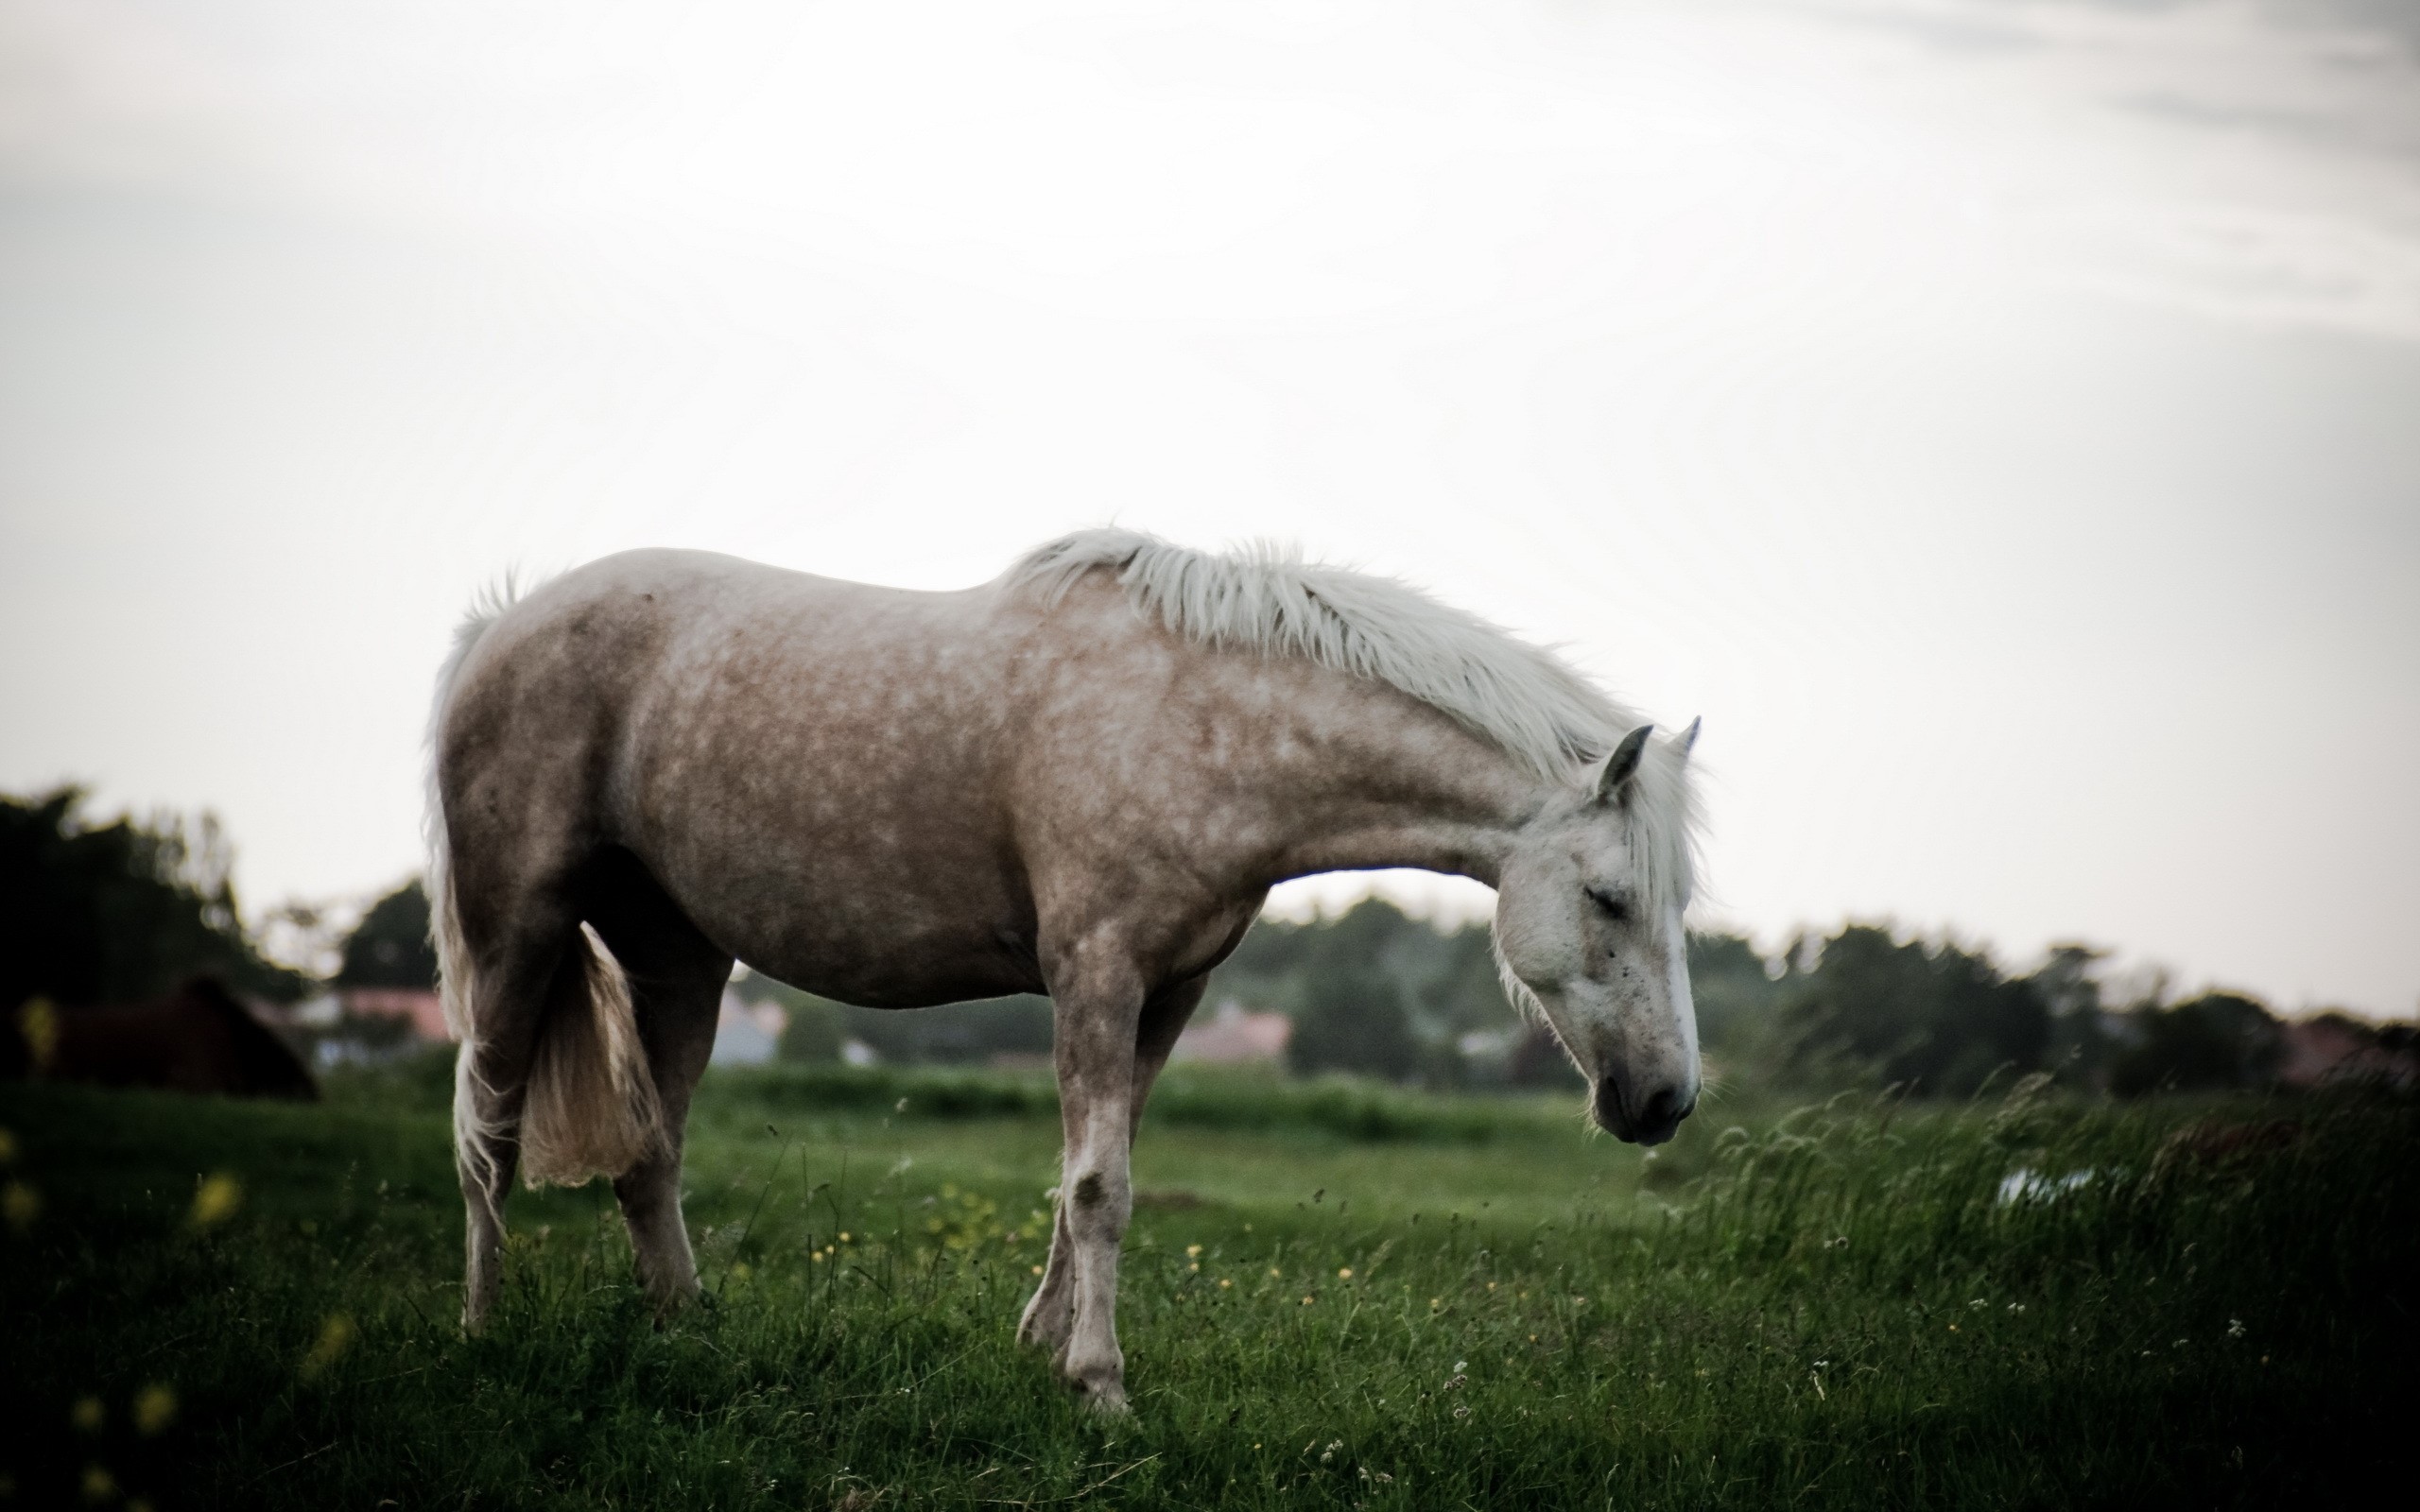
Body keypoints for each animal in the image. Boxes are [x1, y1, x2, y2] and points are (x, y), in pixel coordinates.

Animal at [426, 528, 1703, 1411]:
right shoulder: (1096, 970)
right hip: (519, 930)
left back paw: (688, 1329)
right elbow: (1099, 1186)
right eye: (1609, 896)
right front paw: (1098, 1385)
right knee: (487, 1130)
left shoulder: (1167, 990)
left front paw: (1042, 1351)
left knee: (650, 1157)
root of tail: (498, 626)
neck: (1201, 722)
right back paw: (484, 1329)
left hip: (680, 954)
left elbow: (1093, 1170)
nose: (1664, 1098)